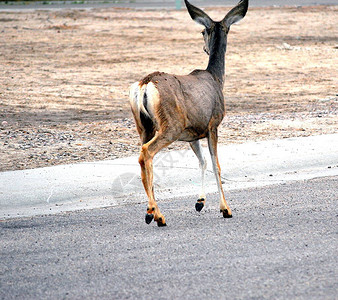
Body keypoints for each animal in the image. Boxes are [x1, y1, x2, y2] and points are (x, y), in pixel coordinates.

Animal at [129, 0, 248, 225]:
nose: (204, 48)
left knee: (142, 157)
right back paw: (156, 214)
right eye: (203, 31)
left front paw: (200, 201)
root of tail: (145, 84)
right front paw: (225, 209)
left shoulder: (193, 133)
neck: (216, 78)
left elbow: (202, 161)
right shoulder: (213, 124)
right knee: (147, 152)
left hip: (144, 126)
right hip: (170, 126)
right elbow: (216, 164)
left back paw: (152, 213)